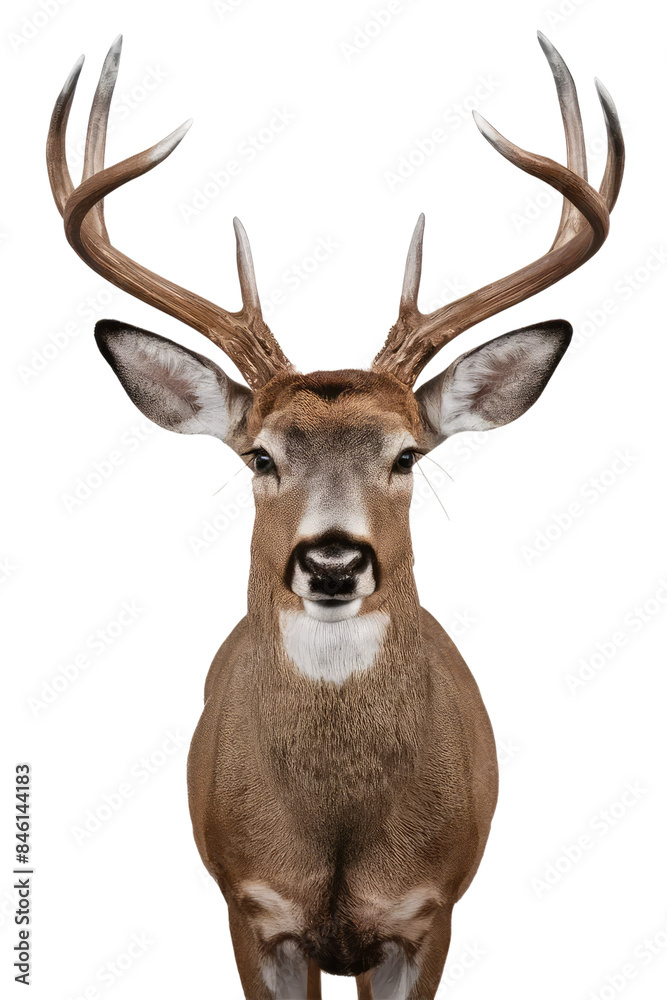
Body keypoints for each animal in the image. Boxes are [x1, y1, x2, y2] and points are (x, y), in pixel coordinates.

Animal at [47, 32, 623, 1000]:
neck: (340, 834)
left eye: (406, 455)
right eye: (260, 456)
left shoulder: (426, 914)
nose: (331, 563)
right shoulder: (253, 911)